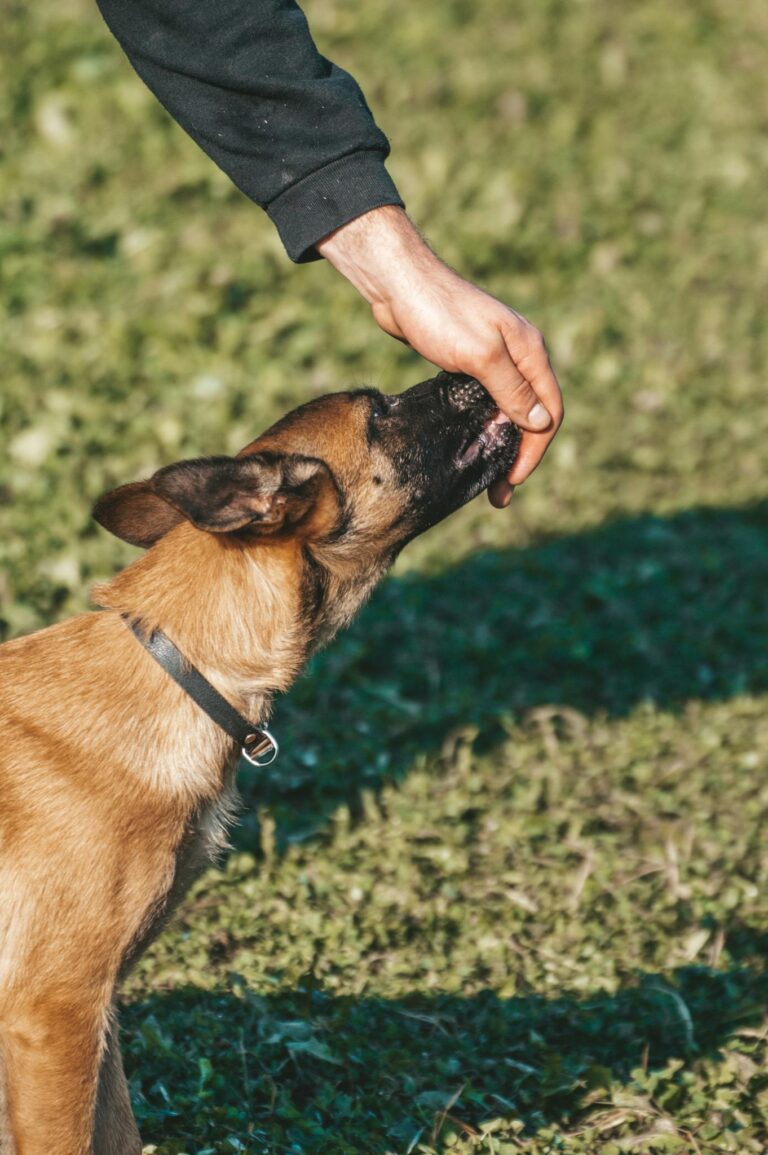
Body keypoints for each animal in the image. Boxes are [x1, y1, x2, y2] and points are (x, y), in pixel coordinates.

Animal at [0, 371, 522, 1155]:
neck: (181, 668)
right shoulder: (55, 1013)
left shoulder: (96, 1014)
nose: (470, 376)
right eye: (381, 411)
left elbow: (119, 1131)